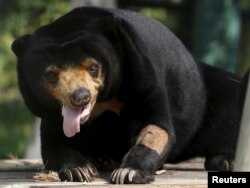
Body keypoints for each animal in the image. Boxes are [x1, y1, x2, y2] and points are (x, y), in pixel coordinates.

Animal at [11, 6, 244, 184]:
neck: (102, 104)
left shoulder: (142, 76)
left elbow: (155, 127)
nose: (80, 97)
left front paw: (129, 172)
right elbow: (55, 142)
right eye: (51, 74)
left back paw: (224, 160)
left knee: (231, 105)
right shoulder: (49, 111)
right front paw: (79, 169)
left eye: (93, 67)